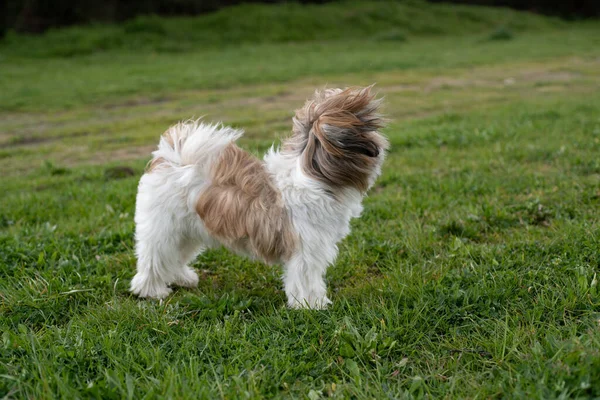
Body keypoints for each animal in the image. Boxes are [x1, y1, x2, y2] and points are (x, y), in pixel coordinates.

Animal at [130, 86, 390, 308]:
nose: (381, 145)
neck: (314, 176)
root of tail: (171, 160)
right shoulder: (305, 249)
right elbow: (306, 279)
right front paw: (312, 305)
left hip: (189, 230)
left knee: (174, 257)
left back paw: (183, 278)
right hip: (165, 227)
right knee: (154, 259)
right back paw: (151, 291)